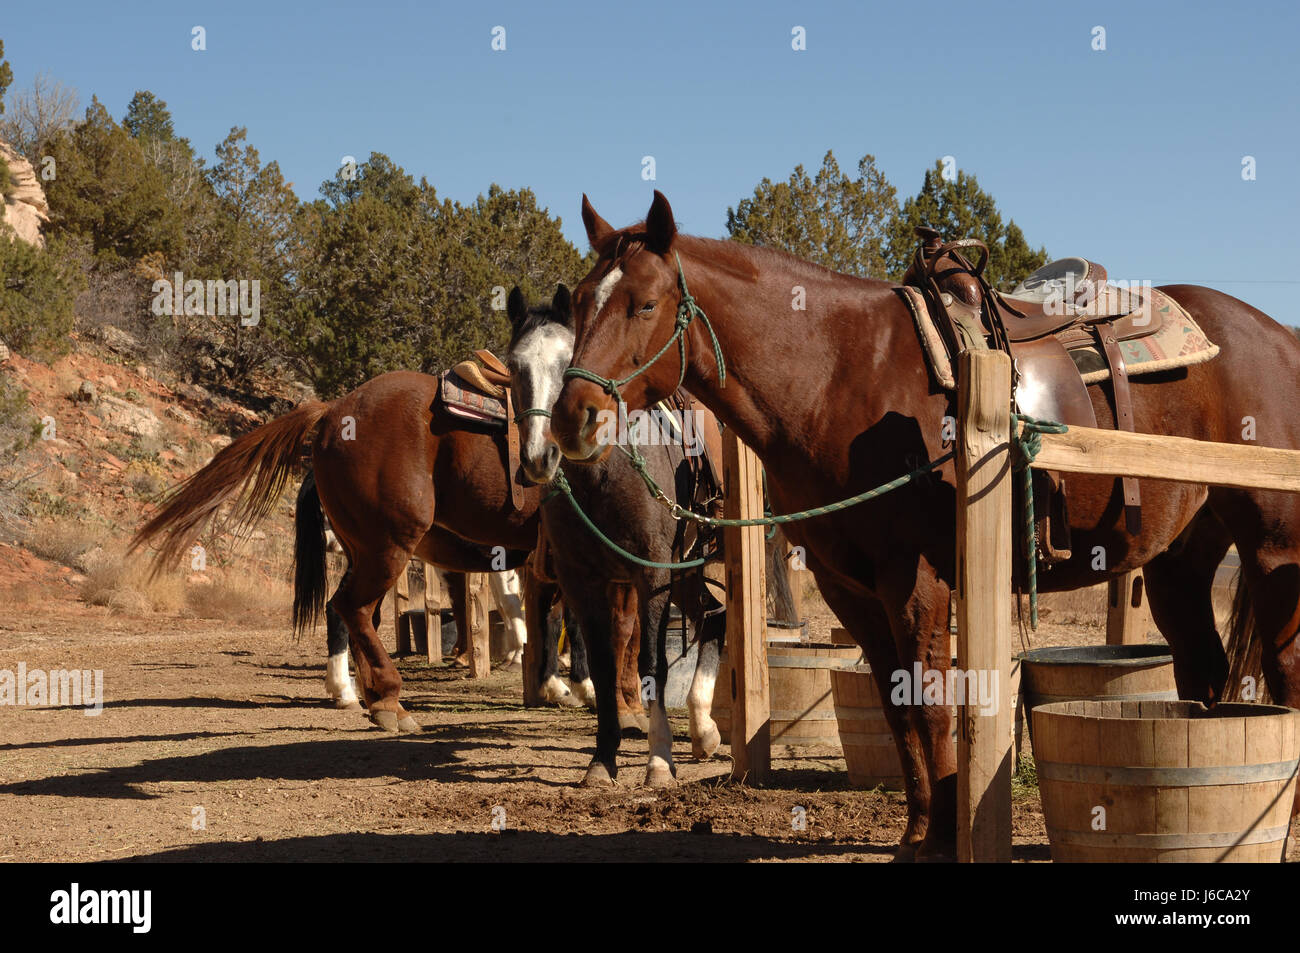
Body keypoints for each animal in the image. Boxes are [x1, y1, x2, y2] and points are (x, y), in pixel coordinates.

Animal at [546, 189, 1300, 858]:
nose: (571, 418)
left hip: (1272, 548)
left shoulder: (917, 580)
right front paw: (915, 836)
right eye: (578, 303)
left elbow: (933, 704)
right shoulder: (851, 589)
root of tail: (1281, 337)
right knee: (1204, 670)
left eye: (645, 303)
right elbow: (897, 707)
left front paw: (941, 838)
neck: (838, 374)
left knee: (1284, 670)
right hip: (1180, 560)